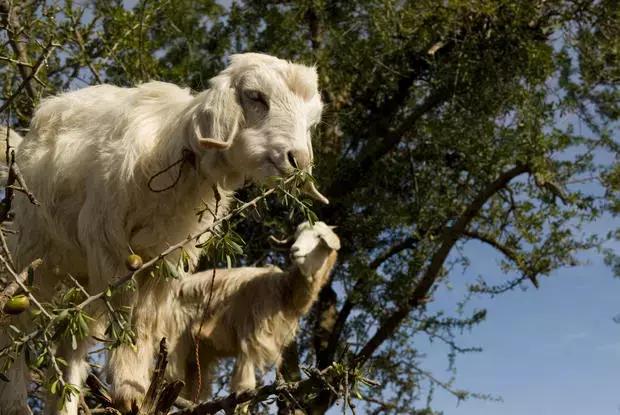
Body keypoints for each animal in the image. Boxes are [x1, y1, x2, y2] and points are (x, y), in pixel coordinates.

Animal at [165, 223, 340, 402]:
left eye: (319, 237)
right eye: (296, 236)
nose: (294, 250)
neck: (283, 291)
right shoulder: (249, 338)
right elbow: (244, 387)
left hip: (197, 356)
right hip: (174, 340)